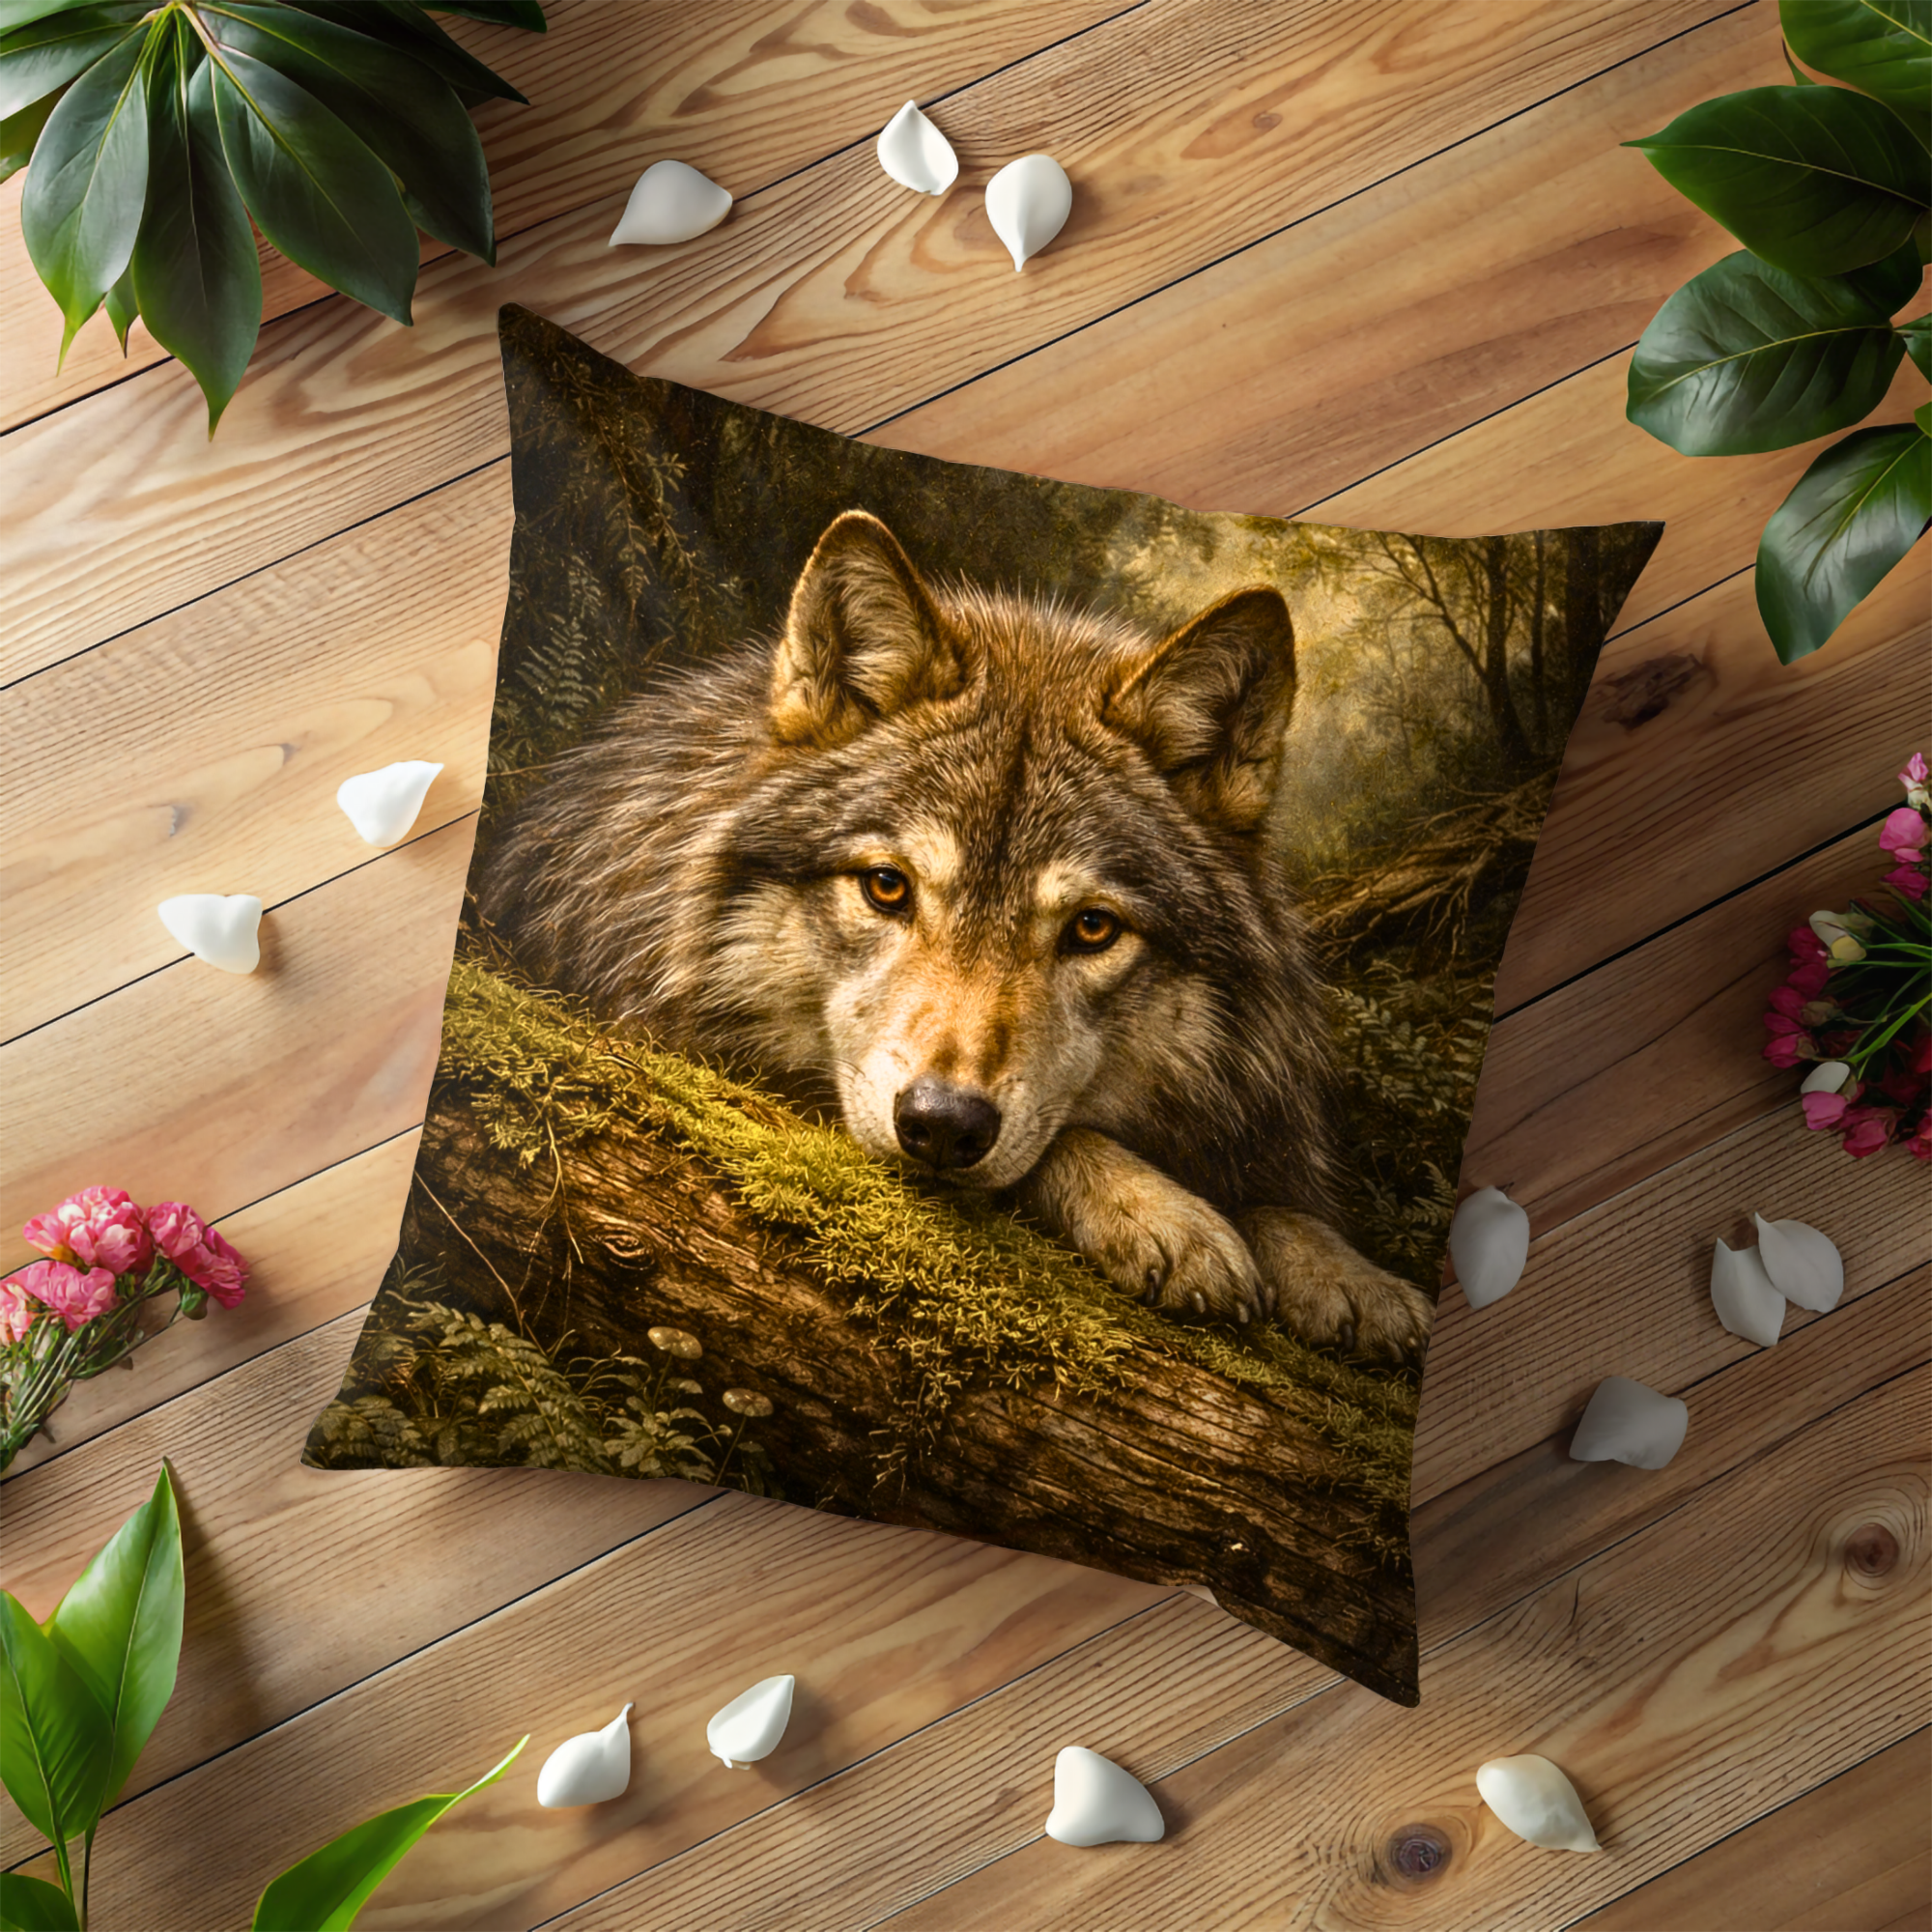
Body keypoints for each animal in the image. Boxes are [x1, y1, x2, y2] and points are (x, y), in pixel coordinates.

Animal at [483, 511, 1433, 1363]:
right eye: (887, 887)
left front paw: (1349, 1273)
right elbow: (1066, 1140)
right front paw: (1164, 1214)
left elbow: (1284, 1201)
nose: (941, 1126)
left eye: (1092, 928)